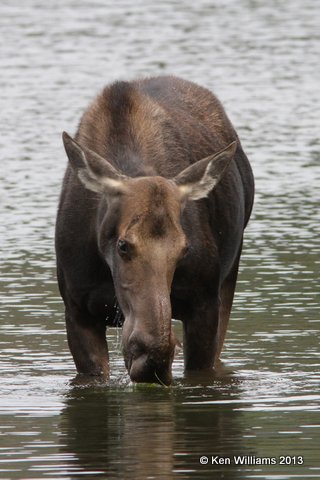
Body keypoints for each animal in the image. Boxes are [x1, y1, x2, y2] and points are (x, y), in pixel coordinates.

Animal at [55, 78, 255, 386]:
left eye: (184, 248)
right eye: (123, 245)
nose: (144, 347)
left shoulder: (204, 304)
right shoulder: (77, 311)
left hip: (229, 276)